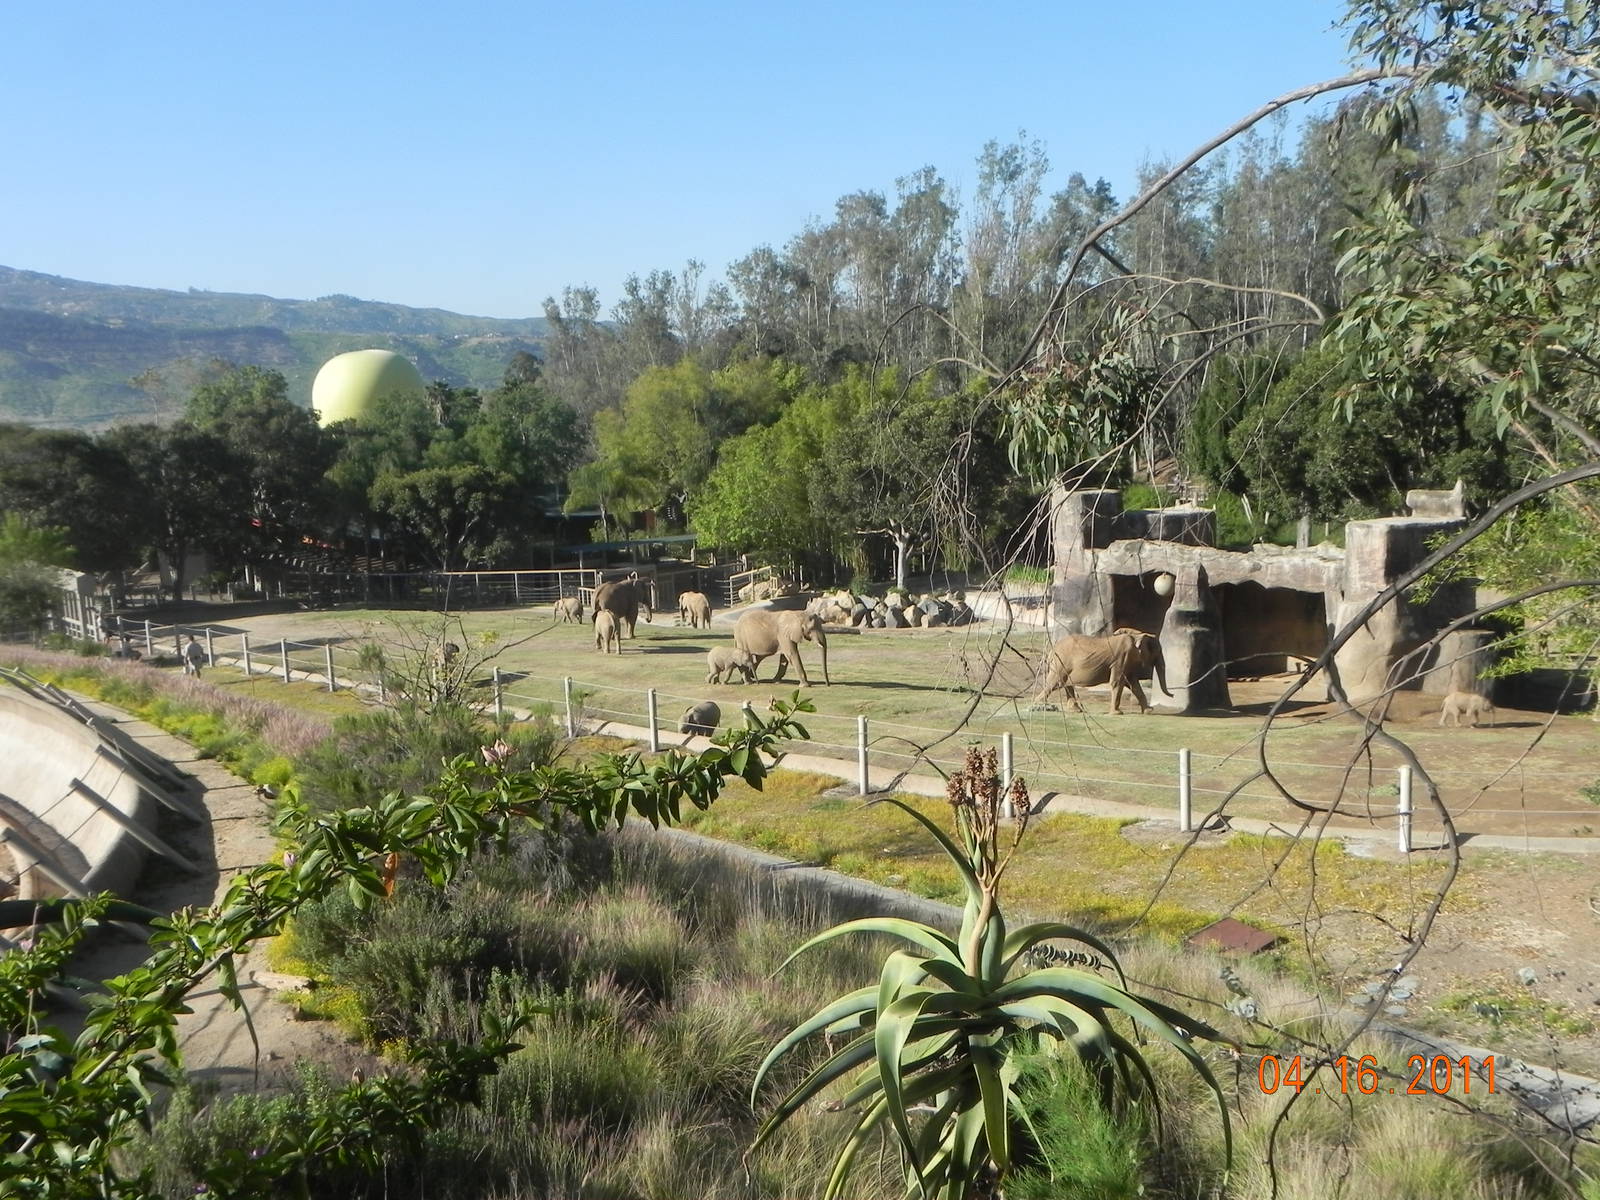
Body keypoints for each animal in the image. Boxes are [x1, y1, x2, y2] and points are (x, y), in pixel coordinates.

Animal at [1034, 627, 1169, 714]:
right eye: (1158, 651)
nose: (1172, 695)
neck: (1138, 634)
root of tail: (1052, 650)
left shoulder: (1127, 662)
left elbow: (1133, 683)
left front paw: (1148, 711)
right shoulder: (1121, 658)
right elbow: (1118, 682)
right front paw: (1117, 713)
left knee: (1065, 684)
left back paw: (1076, 710)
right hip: (1060, 664)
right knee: (1054, 684)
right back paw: (1038, 706)